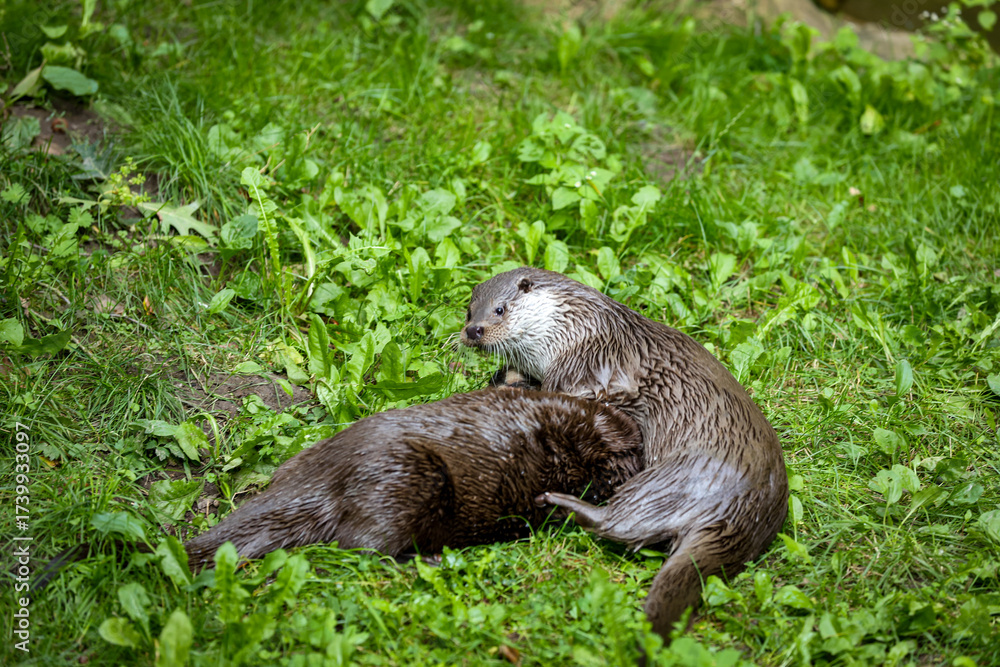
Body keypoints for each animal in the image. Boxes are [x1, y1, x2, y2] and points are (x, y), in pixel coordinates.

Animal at [461, 267, 788, 641]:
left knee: (617, 523)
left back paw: (559, 502)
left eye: (499, 309)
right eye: (469, 311)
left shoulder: (582, 368)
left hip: (668, 483)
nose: (473, 330)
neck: (574, 327)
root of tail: (743, 512)